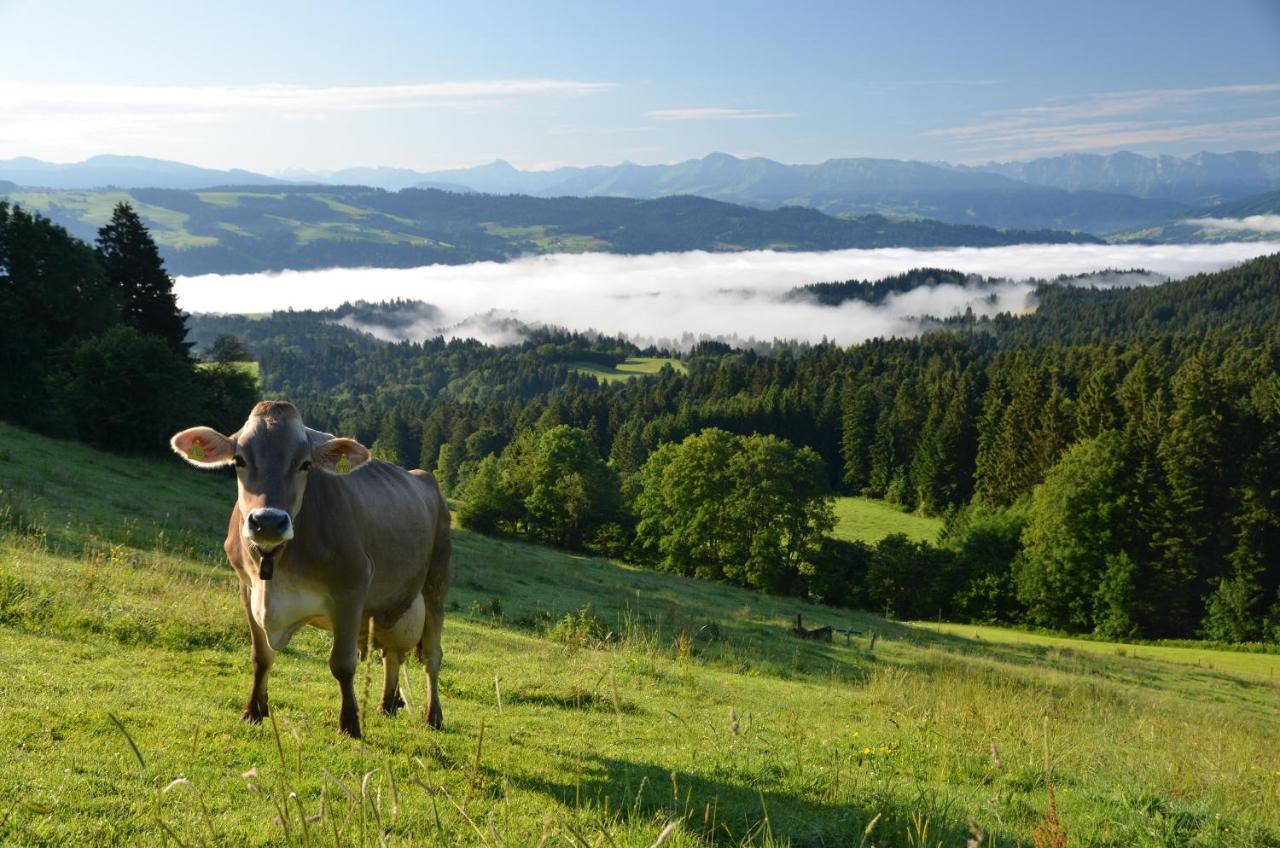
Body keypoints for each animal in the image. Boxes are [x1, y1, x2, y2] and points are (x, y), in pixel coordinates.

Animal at [170, 402, 450, 742]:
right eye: (239, 460)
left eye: (305, 464)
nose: (268, 521)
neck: (275, 567)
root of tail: (421, 475)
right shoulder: (246, 589)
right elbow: (260, 656)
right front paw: (254, 710)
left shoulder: (351, 589)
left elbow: (342, 664)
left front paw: (350, 724)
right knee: (391, 654)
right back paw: (387, 704)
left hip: (437, 582)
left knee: (432, 656)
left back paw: (433, 716)